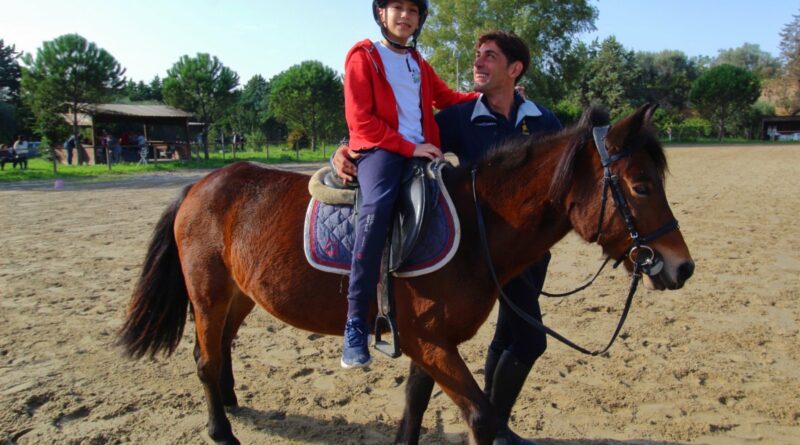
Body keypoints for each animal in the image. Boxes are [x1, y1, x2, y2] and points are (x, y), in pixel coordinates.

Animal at [119, 103, 692, 440]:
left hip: (241, 294)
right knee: (204, 358)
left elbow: (416, 403)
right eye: (641, 185)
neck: (475, 224)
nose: (681, 266)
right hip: (209, 294)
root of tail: (200, 185)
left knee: (220, 349)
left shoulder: (428, 341)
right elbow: (481, 414)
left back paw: (233, 404)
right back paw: (221, 430)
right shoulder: (431, 343)